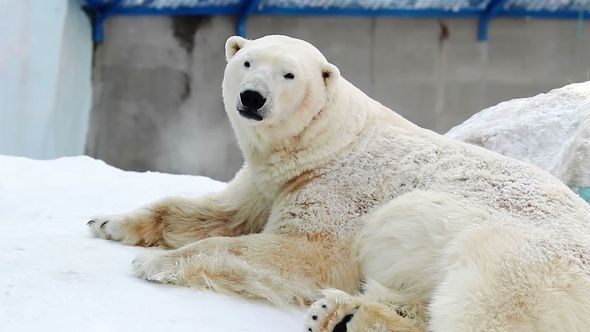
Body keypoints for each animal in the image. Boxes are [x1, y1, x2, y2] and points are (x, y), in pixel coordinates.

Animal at [88, 35, 590, 330]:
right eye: (247, 61)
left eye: (289, 74)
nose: (253, 98)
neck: (329, 140)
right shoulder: (268, 183)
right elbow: (219, 212)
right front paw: (108, 222)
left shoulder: (338, 188)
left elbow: (305, 252)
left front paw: (156, 263)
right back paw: (342, 314)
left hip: (517, 257)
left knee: (481, 306)